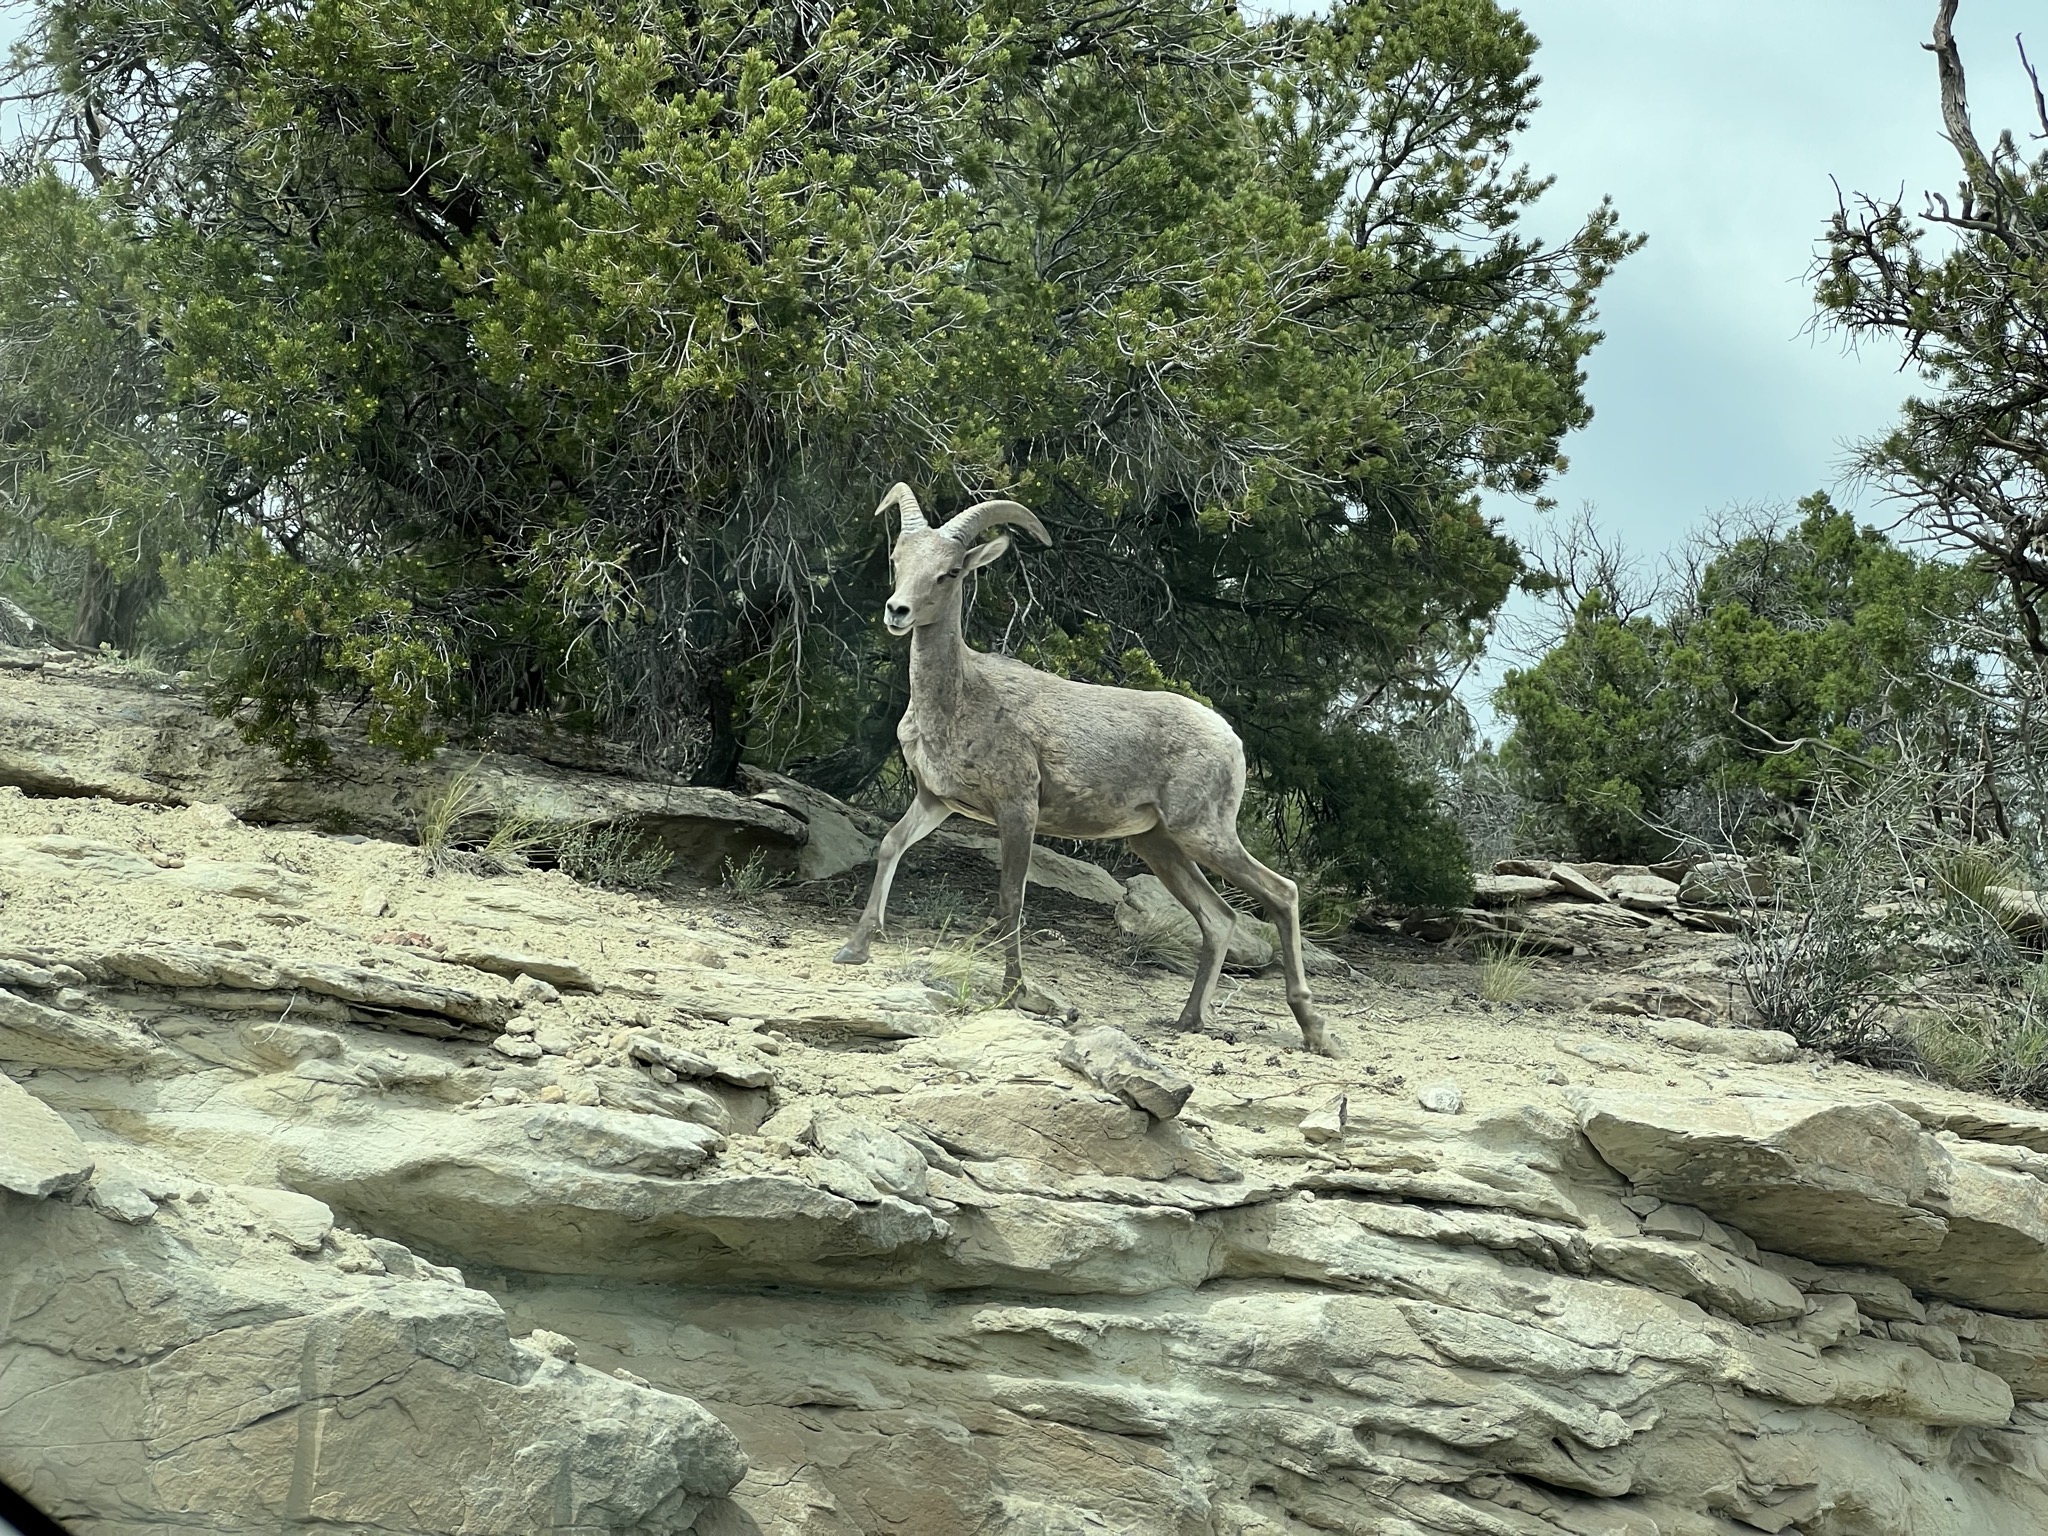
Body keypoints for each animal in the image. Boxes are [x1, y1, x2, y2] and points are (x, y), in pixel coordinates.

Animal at [832, 482, 1332, 1055]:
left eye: (951, 571)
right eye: (898, 560)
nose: (898, 611)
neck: (960, 699)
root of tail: (1229, 737)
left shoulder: (1018, 810)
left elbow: (1011, 898)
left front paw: (1018, 996)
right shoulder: (936, 800)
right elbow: (890, 845)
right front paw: (853, 951)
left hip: (1203, 833)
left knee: (1281, 892)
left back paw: (1315, 1031)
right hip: (1158, 843)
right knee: (1220, 917)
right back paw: (1189, 1021)